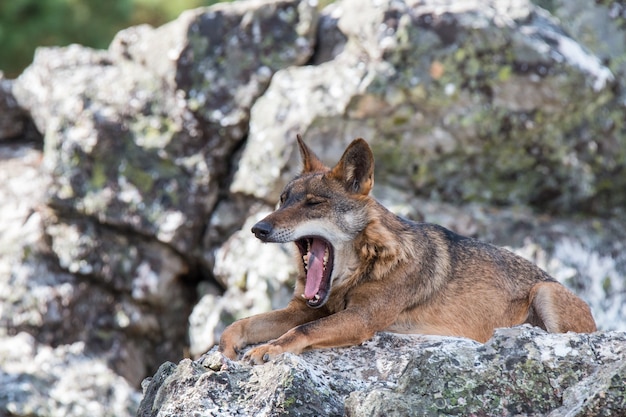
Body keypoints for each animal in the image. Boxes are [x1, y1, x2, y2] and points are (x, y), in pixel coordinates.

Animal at [219, 135, 596, 362]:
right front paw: (226, 350)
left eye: (313, 203)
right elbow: (240, 323)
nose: (258, 229)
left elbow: (301, 331)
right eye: (283, 200)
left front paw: (268, 348)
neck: (364, 268)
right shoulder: (306, 308)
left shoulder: (361, 319)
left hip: (546, 292)